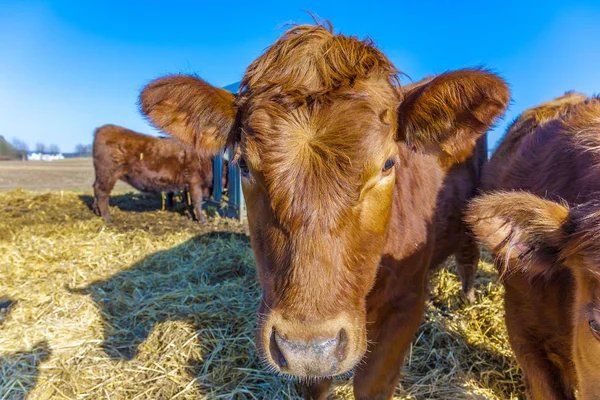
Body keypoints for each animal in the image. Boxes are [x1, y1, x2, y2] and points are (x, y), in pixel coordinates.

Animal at [136, 23, 506, 398]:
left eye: (388, 164)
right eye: (243, 165)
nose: (309, 349)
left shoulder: (405, 306)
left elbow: (372, 384)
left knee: (468, 257)